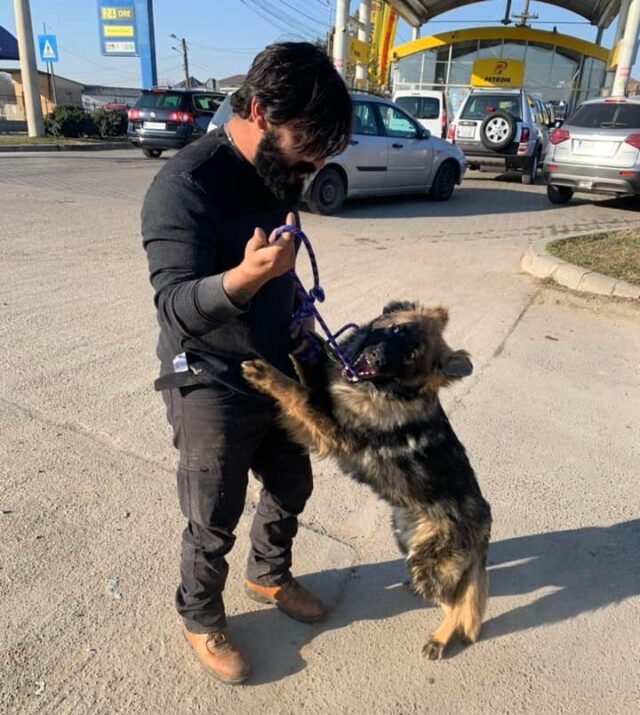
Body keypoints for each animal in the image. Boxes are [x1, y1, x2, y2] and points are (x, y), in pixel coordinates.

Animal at [242, 302, 492, 660]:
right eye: (398, 329)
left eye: (412, 355)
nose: (376, 359)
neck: (385, 389)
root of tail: (485, 524)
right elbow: (314, 369)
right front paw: (307, 341)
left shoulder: (331, 431)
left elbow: (300, 393)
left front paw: (268, 375)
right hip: (406, 536)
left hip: (426, 562)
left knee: (457, 605)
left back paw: (440, 638)